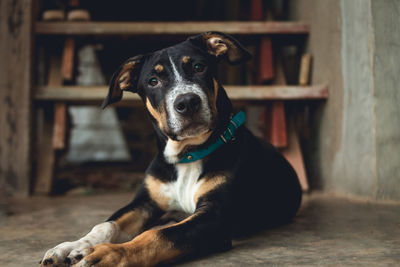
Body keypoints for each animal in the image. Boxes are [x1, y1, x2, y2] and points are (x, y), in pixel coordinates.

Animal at [41, 32, 304, 266]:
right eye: (153, 81)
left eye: (199, 67)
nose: (187, 102)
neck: (187, 155)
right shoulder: (146, 203)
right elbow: (106, 224)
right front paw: (72, 247)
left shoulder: (215, 216)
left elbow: (158, 235)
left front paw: (110, 254)